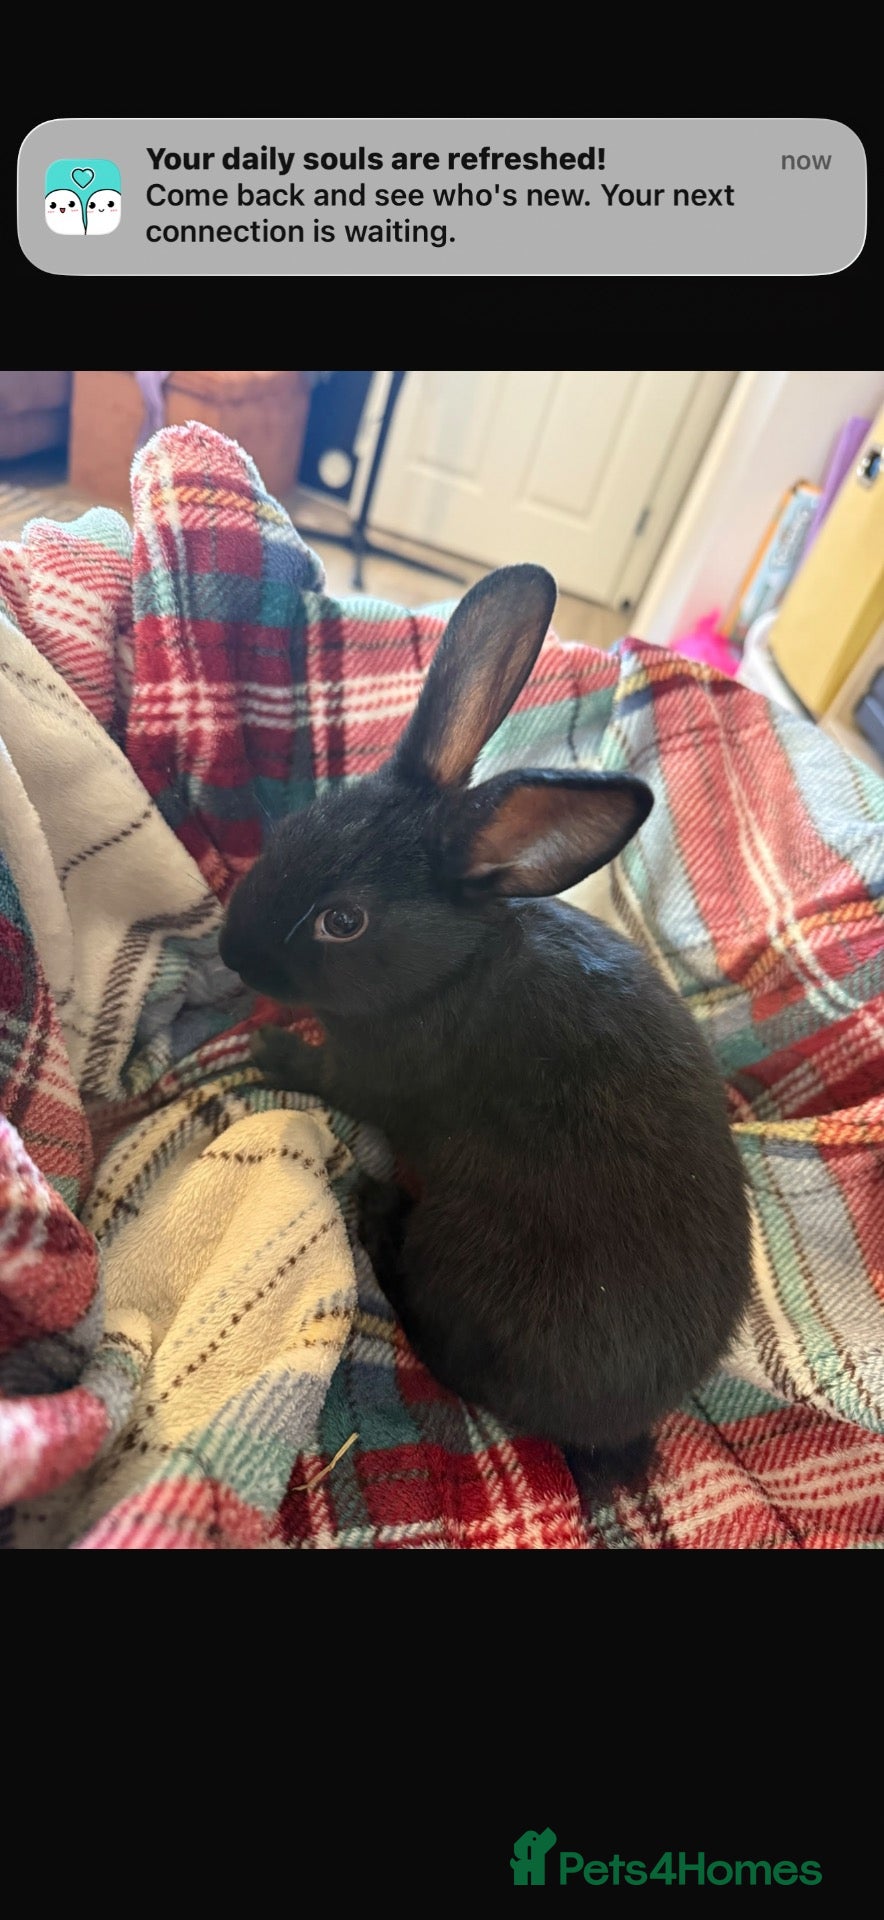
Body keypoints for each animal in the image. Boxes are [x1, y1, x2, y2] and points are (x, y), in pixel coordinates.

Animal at [219, 564, 752, 1495]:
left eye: (343, 922)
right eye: (295, 828)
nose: (228, 953)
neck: (452, 964)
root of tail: (624, 1428)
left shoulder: (376, 1071)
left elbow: (328, 1072)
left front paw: (268, 1047)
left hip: (456, 1247)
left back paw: (376, 1207)